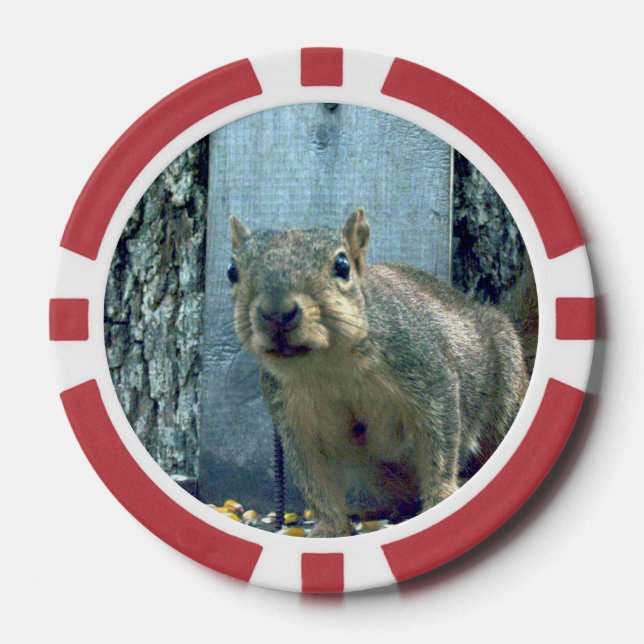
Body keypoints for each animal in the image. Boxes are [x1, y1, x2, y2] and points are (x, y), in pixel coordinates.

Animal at [227, 208, 529, 537]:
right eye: (232, 271)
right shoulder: (294, 418)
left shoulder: (427, 376)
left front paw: (440, 500)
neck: (330, 367)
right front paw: (329, 528)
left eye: (342, 265)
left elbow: (440, 443)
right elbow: (314, 478)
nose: (276, 313)